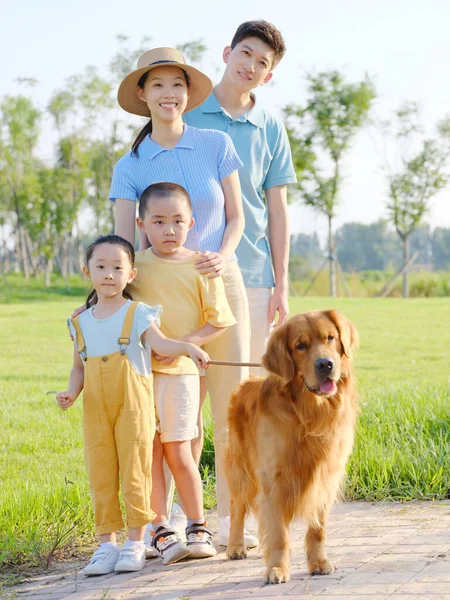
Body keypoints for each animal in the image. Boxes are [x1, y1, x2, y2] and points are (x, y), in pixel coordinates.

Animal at [225, 312, 358, 584]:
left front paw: (319, 562)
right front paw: (277, 568)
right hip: (241, 471)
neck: (309, 414)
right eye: (300, 346)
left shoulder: (324, 477)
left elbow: (317, 529)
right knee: (237, 509)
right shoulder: (273, 480)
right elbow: (279, 534)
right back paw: (236, 546)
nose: (325, 365)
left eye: (331, 338)